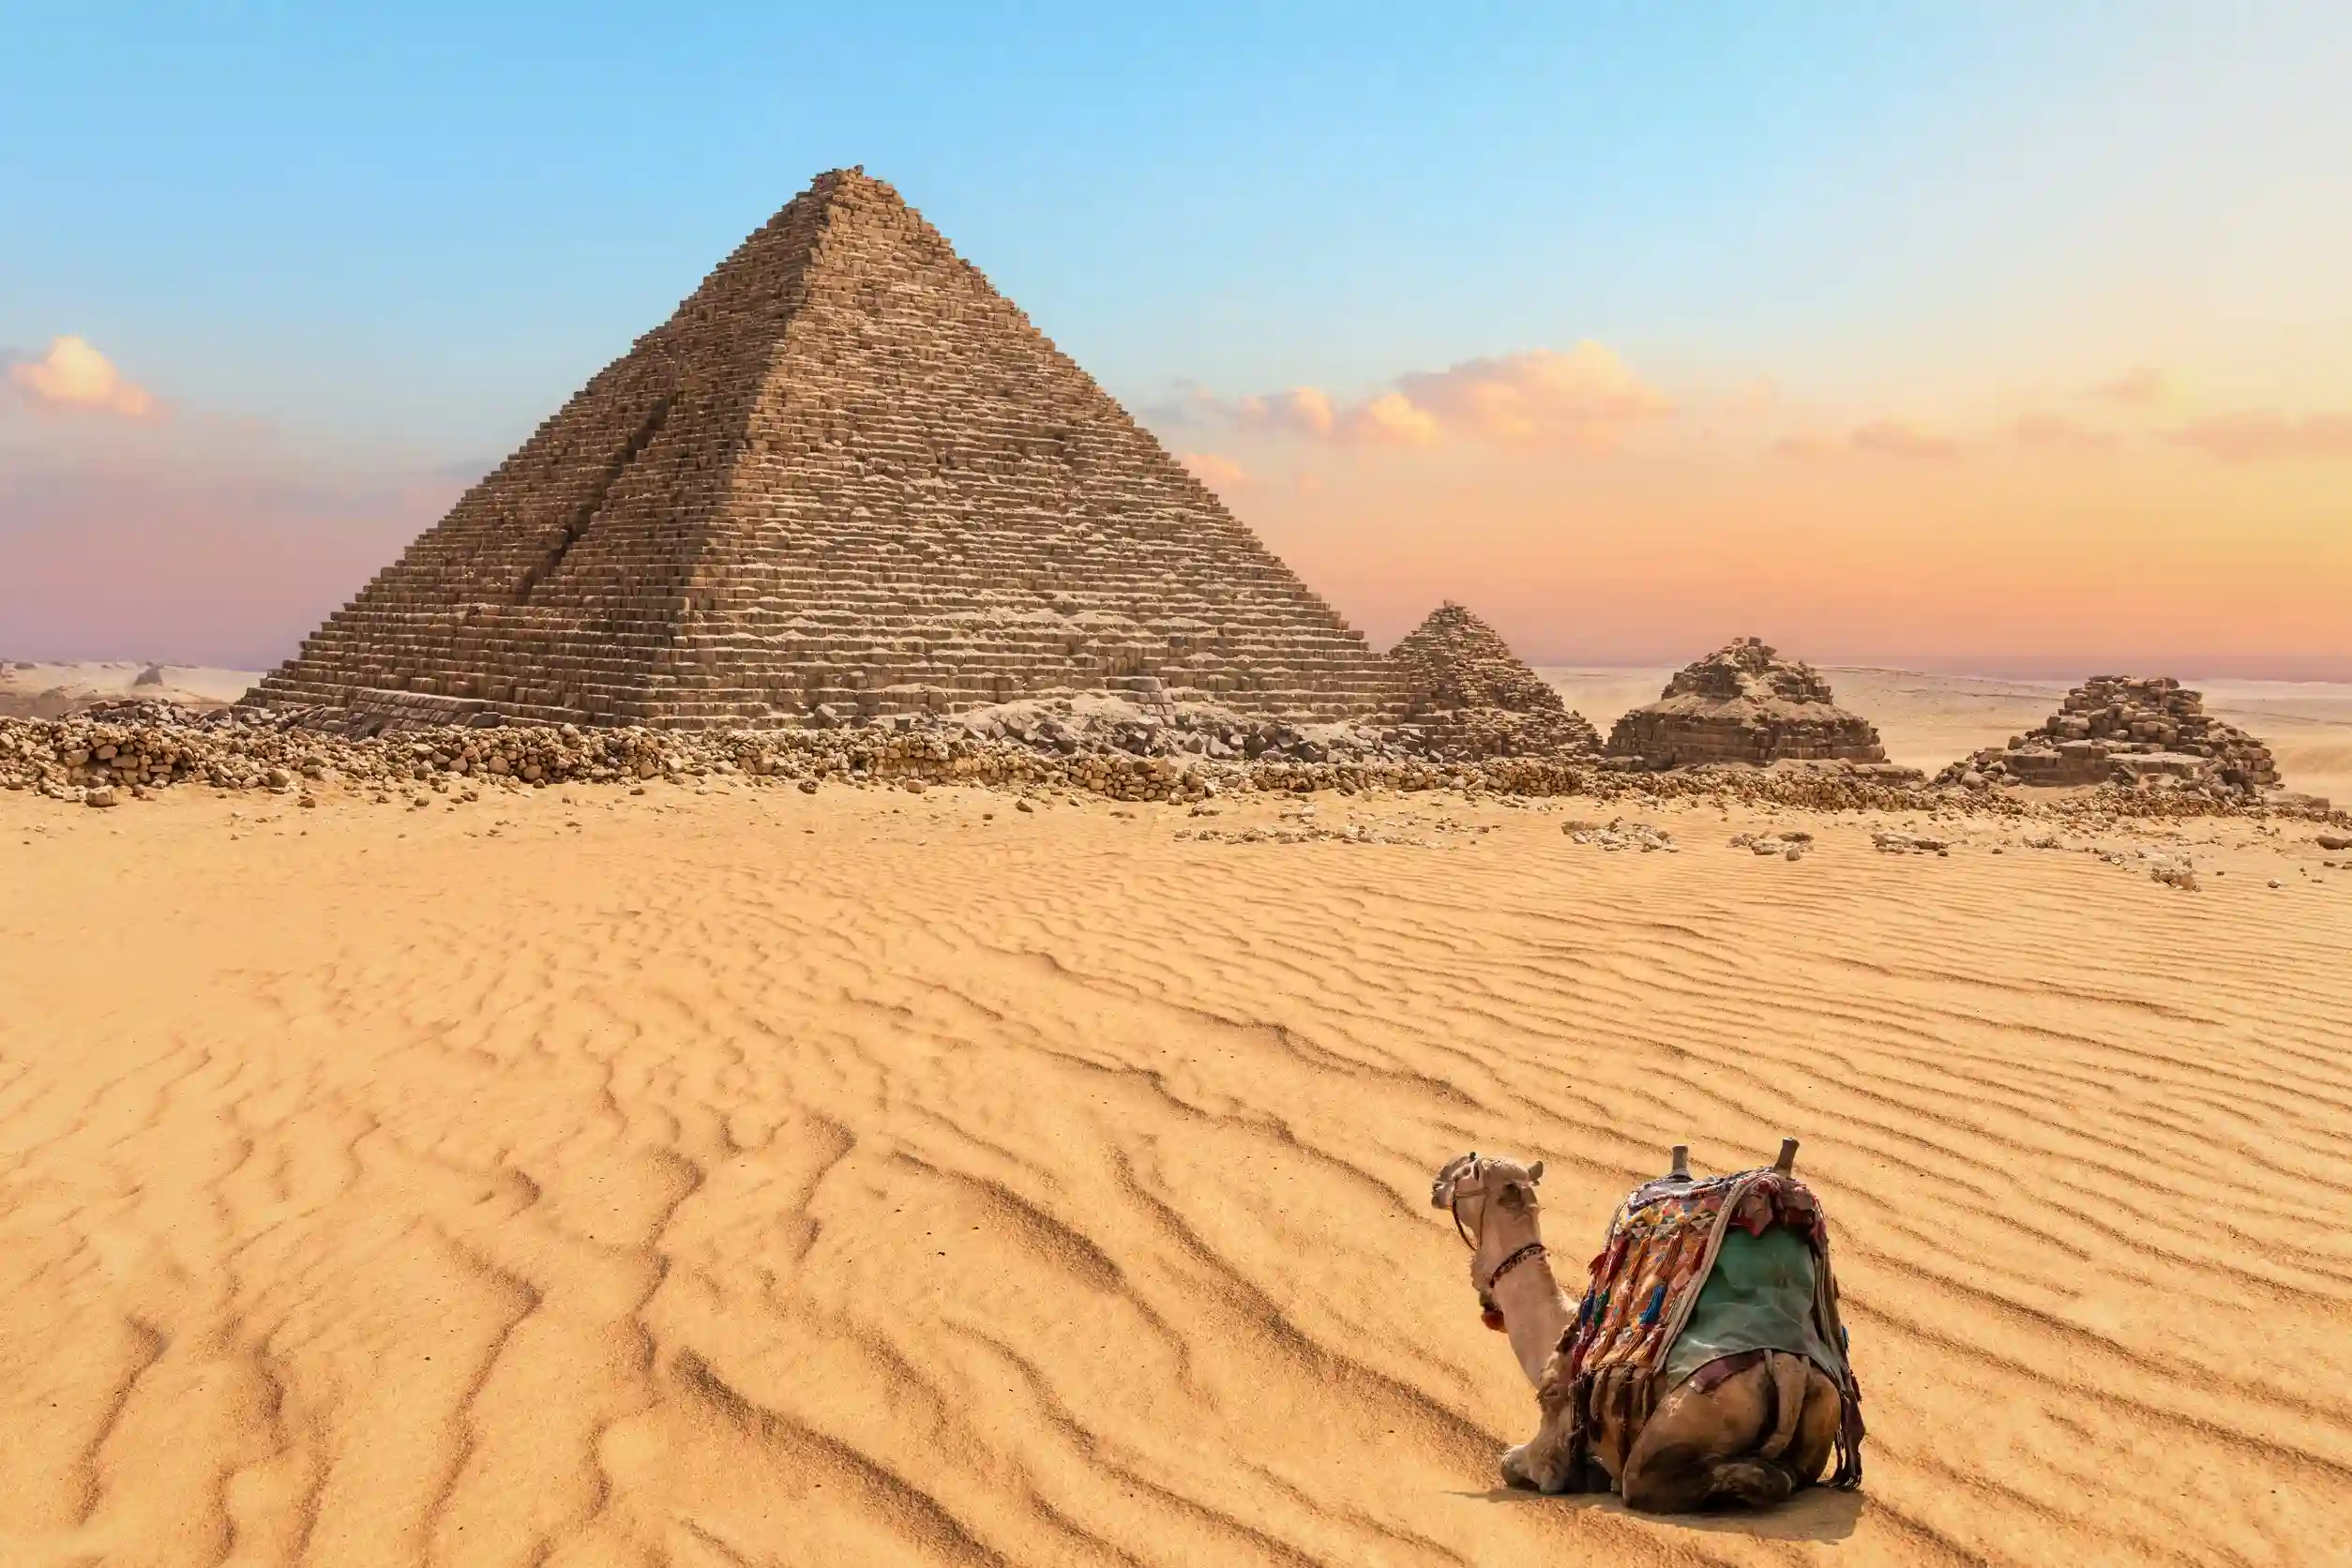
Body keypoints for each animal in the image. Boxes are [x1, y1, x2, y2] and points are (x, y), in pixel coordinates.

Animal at [1431, 1143, 1862, 1512]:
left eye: (1469, 1170)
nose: (1437, 1183)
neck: (1557, 1336)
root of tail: (1789, 1369)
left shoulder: (1552, 1439)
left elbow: (1512, 1464)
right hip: (1821, 1412)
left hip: (1688, 1419)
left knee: (1646, 1482)